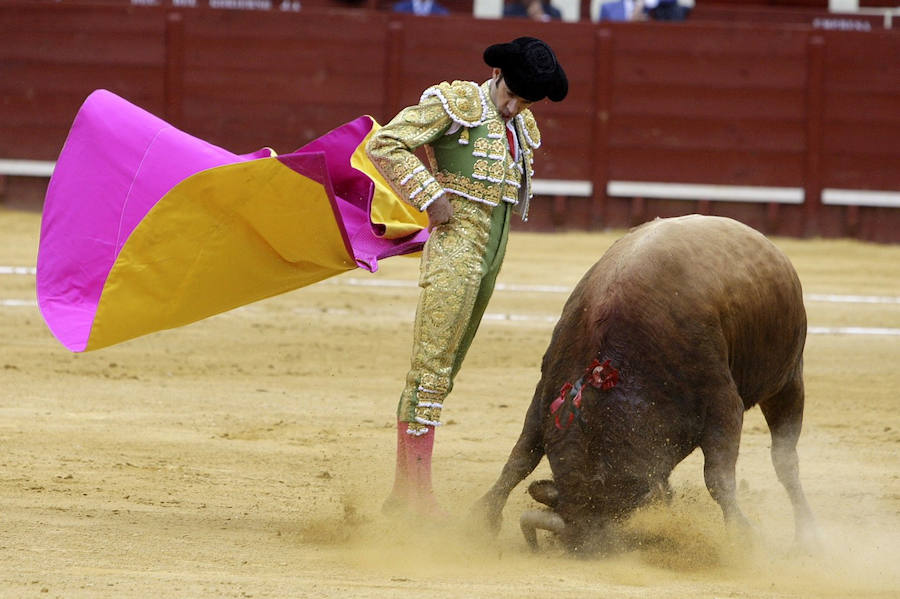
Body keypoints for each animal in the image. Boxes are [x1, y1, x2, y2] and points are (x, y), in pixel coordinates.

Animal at [474, 214, 820, 552]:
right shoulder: (543, 395)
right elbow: (520, 457)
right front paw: (481, 519)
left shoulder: (723, 405)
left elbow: (718, 478)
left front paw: (742, 536)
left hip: (789, 379)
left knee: (785, 458)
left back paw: (807, 535)